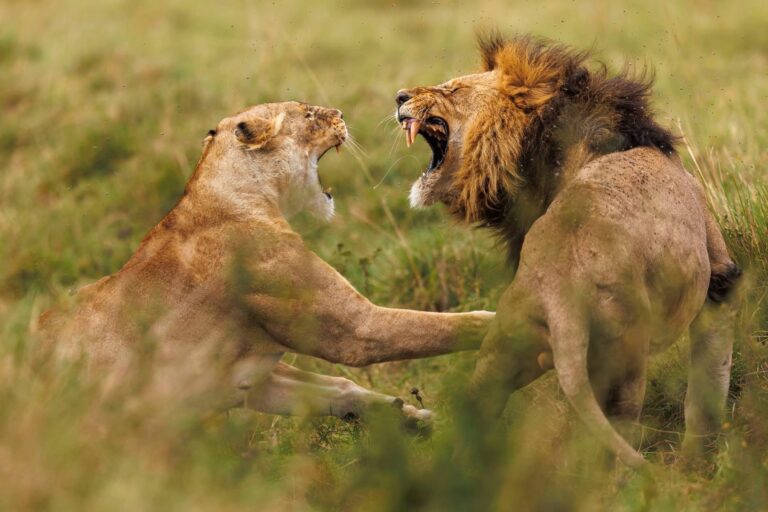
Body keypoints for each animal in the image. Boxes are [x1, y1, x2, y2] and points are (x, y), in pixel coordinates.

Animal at [38, 101, 494, 423]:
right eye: (308, 113)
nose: (342, 114)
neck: (241, 197)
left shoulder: (250, 380)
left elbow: (337, 389)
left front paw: (408, 418)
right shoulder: (354, 328)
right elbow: (447, 326)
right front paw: (501, 320)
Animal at [394, 34, 741, 467]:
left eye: (453, 88)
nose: (399, 96)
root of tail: (560, 291)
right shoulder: (721, 276)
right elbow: (708, 385)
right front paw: (696, 461)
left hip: (506, 344)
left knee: (477, 411)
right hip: (623, 358)